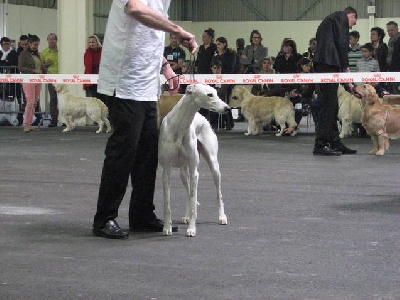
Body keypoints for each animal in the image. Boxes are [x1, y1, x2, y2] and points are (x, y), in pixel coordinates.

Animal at [159, 84, 230, 237]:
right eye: (209, 94)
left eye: (216, 92)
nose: (227, 108)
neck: (179, 126)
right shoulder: (166, 171)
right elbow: (167, 203)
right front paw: (167, 227)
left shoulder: (194, 171)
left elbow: (193, 201)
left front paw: (192, 229)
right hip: (183, 172)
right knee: (188, 192)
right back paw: (186, 216)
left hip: (214, 167)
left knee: (218, 194)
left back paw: (222, 217)